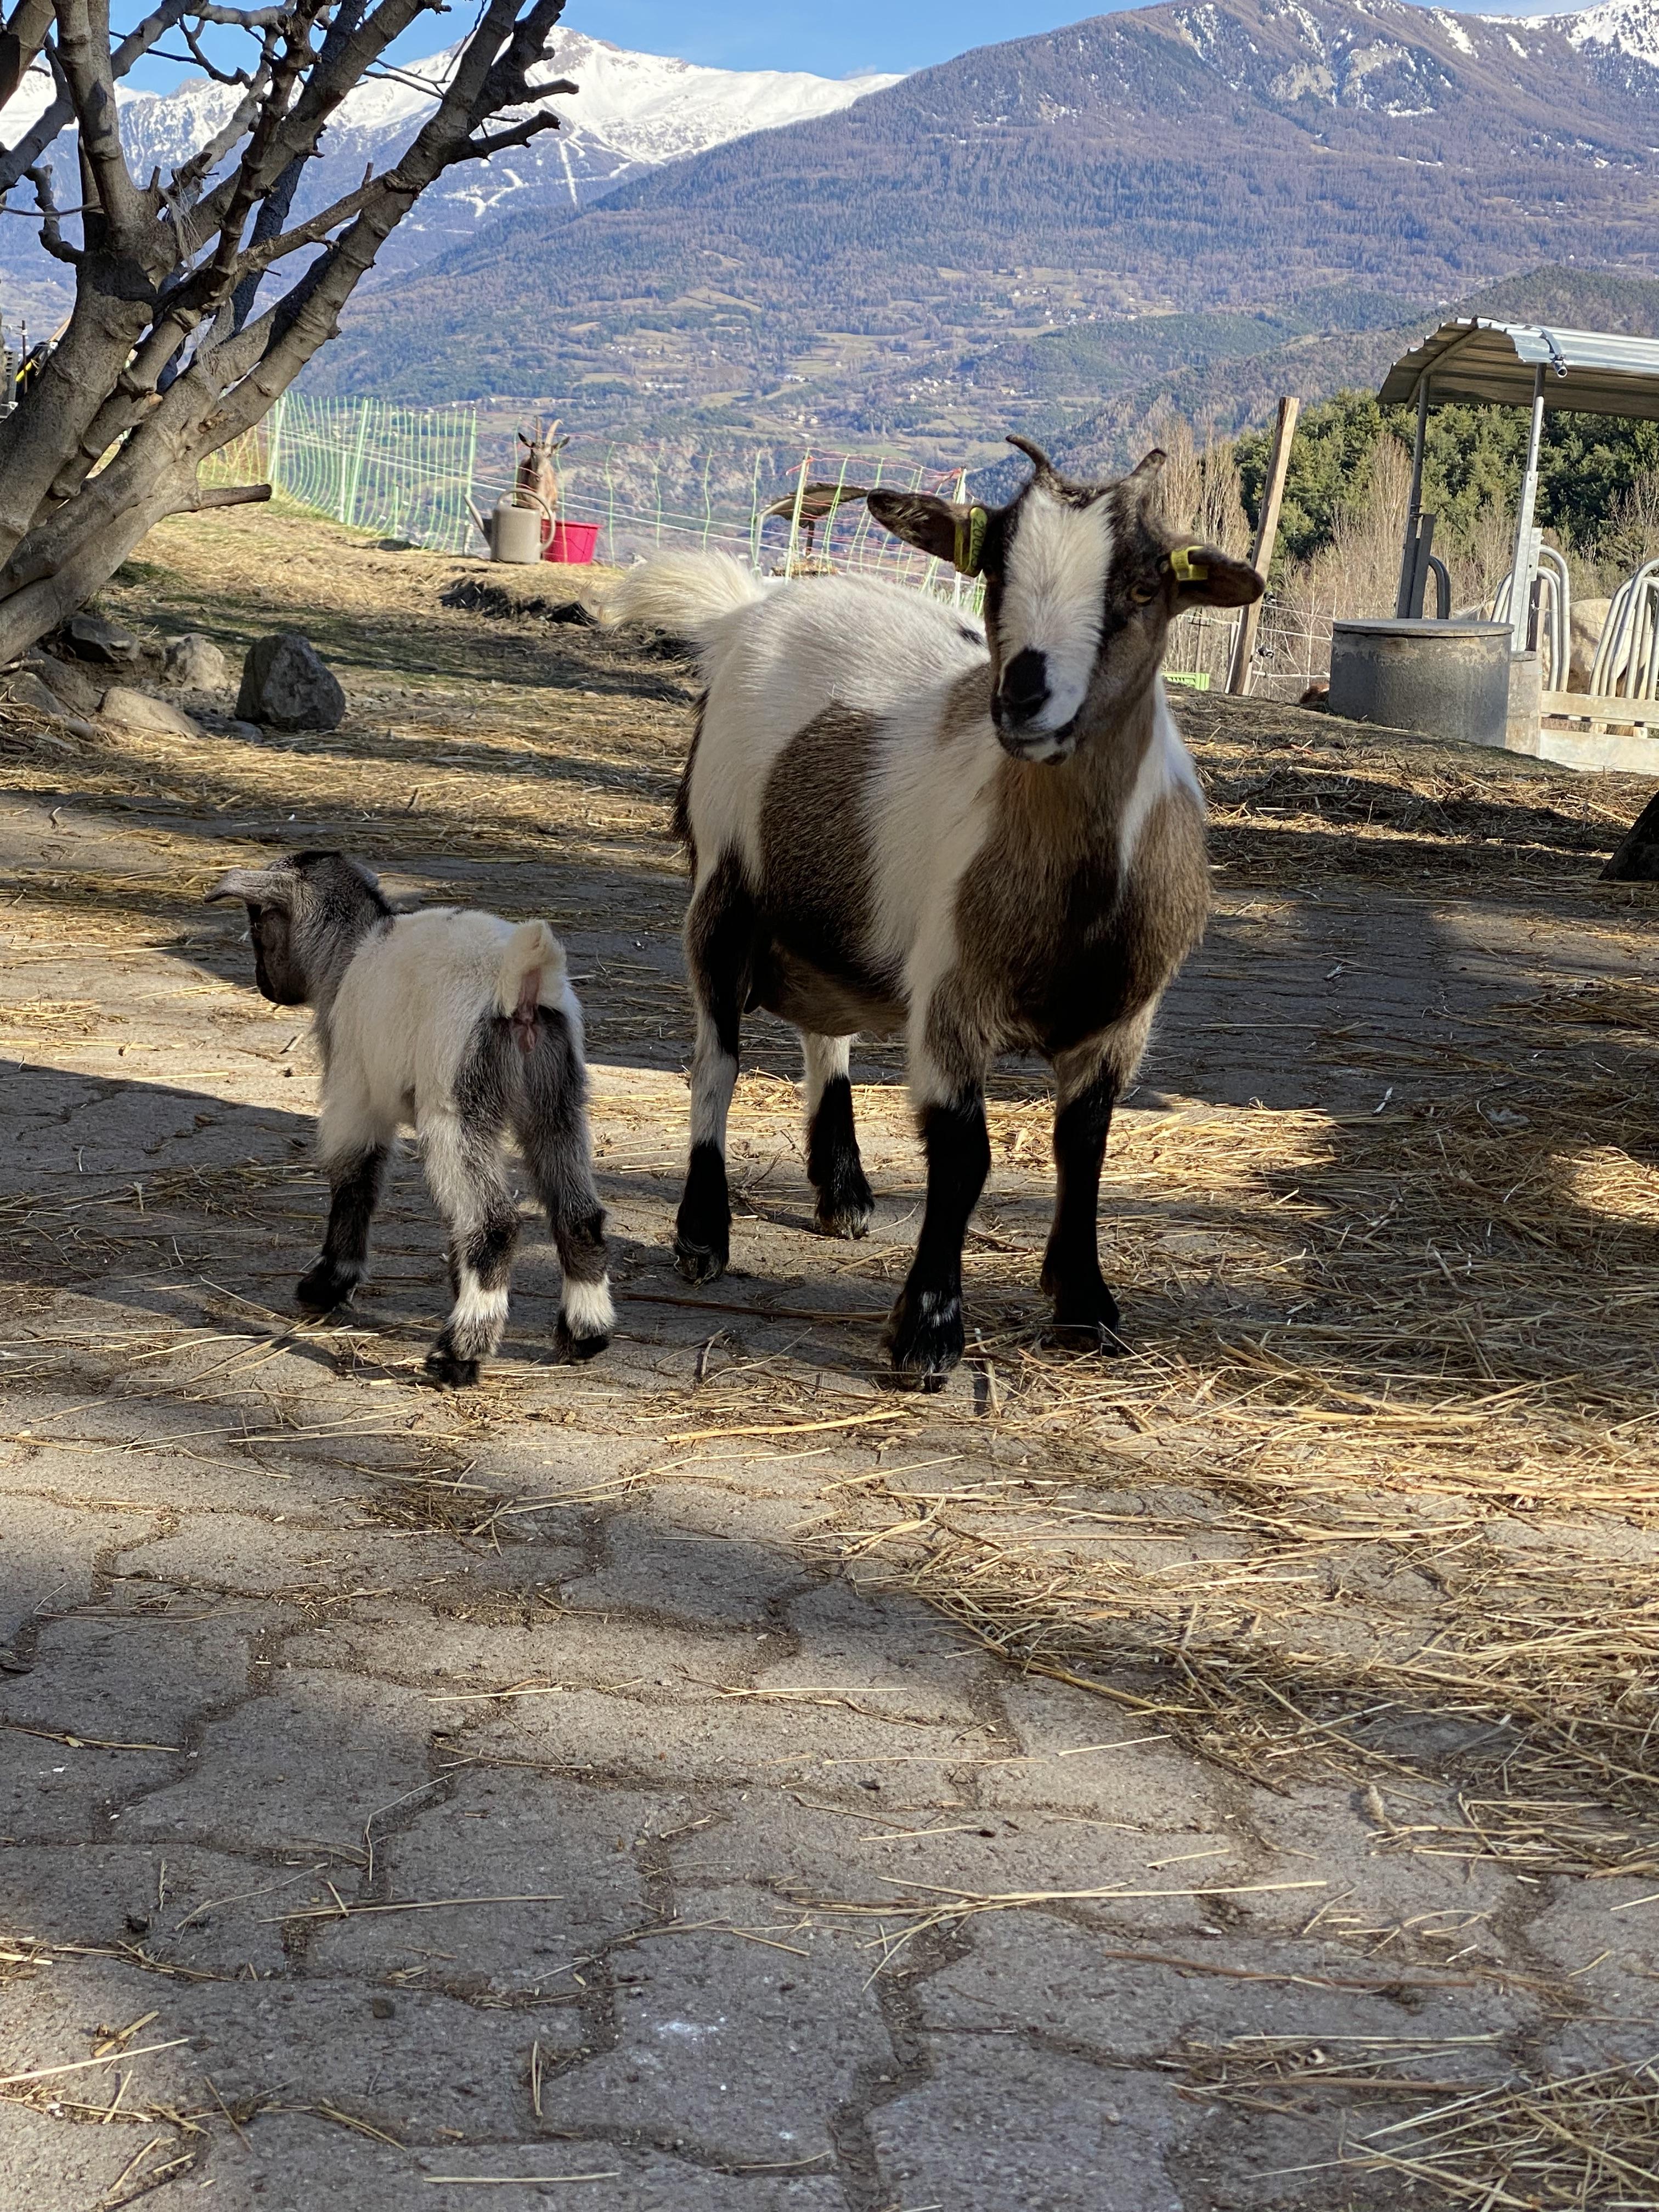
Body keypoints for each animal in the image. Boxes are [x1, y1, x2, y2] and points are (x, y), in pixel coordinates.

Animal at [610, 431, 1256, 1380]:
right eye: (993, 570)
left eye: (1145, 587)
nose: (1021, 697)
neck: (1077, 898)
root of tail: (751, 608)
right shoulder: (954, 994)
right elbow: (962, 1159)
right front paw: (927, 1332)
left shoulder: (1120, 1019)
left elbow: (1084, 1147)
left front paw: (1084, 1306)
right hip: (724, 884)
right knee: (716, 1060)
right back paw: (702, 1234)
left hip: (838, 913)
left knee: (826, 1034)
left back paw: (843, 1192)